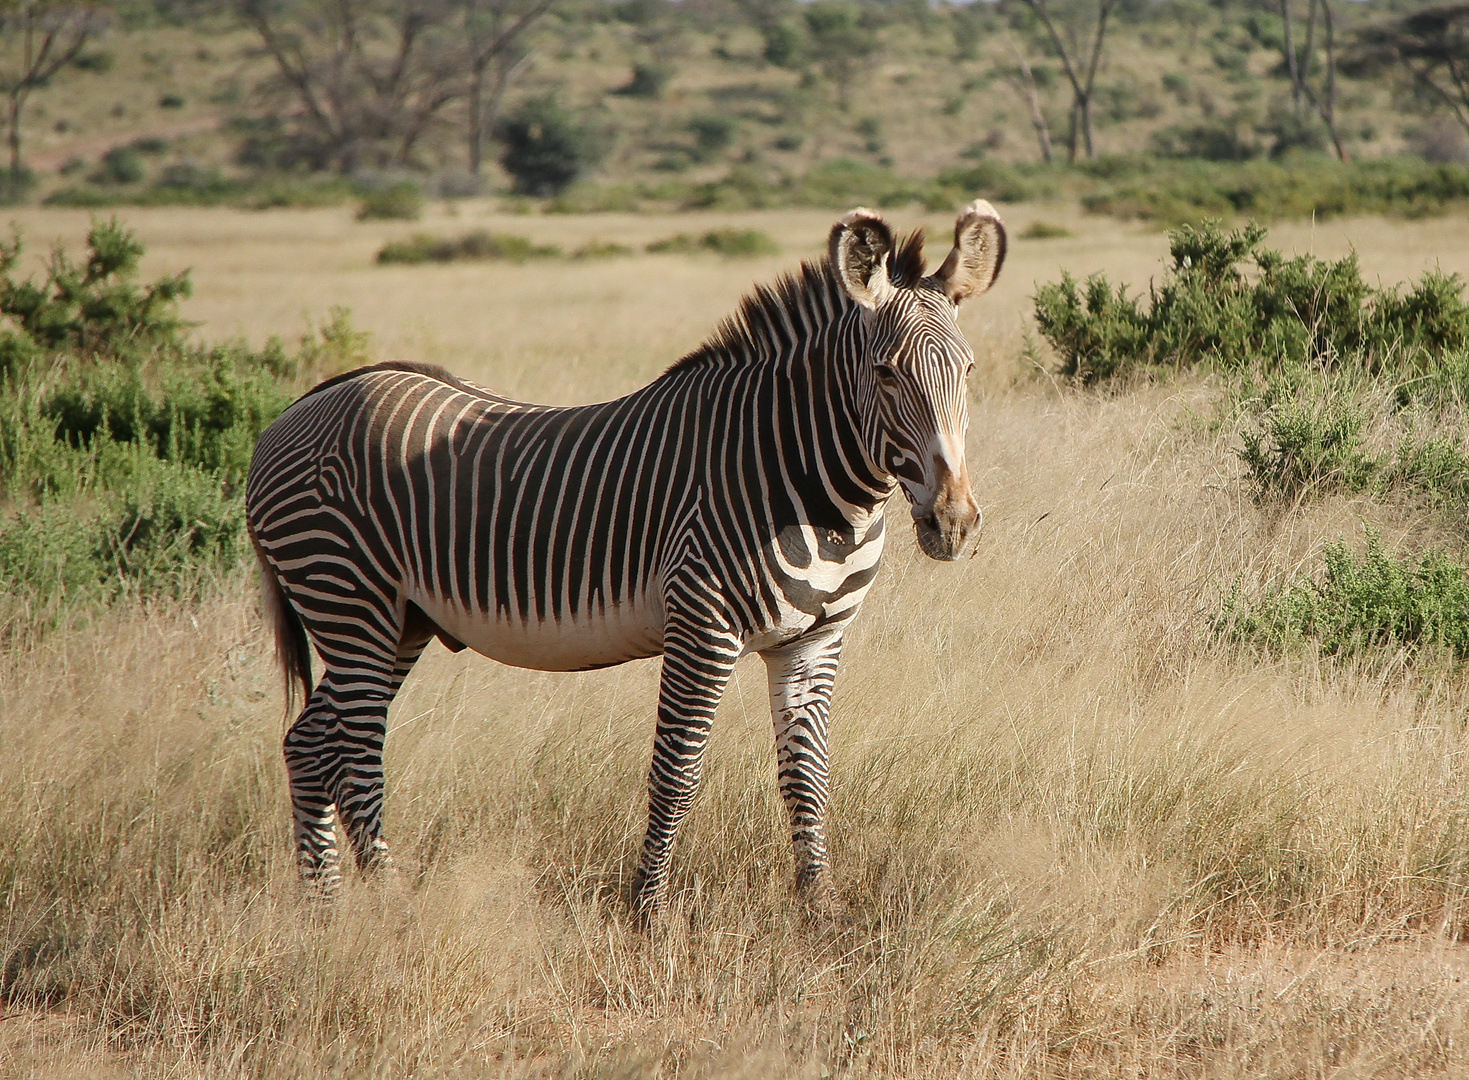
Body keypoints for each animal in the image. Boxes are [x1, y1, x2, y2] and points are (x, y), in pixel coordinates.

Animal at [249, 201, 1010, 911]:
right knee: (352, 755)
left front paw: (817, 912)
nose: (953, 523)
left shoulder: (814, 640)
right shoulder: (702, 624)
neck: (813, 489)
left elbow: (807, 775)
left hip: (396, 620)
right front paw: (647, 913)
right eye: (886, 374)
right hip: (349, 598)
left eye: (969, 371)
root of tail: (297, 408)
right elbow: (677, 772)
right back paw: (388, 905)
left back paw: (326, 912)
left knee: (308, 745)